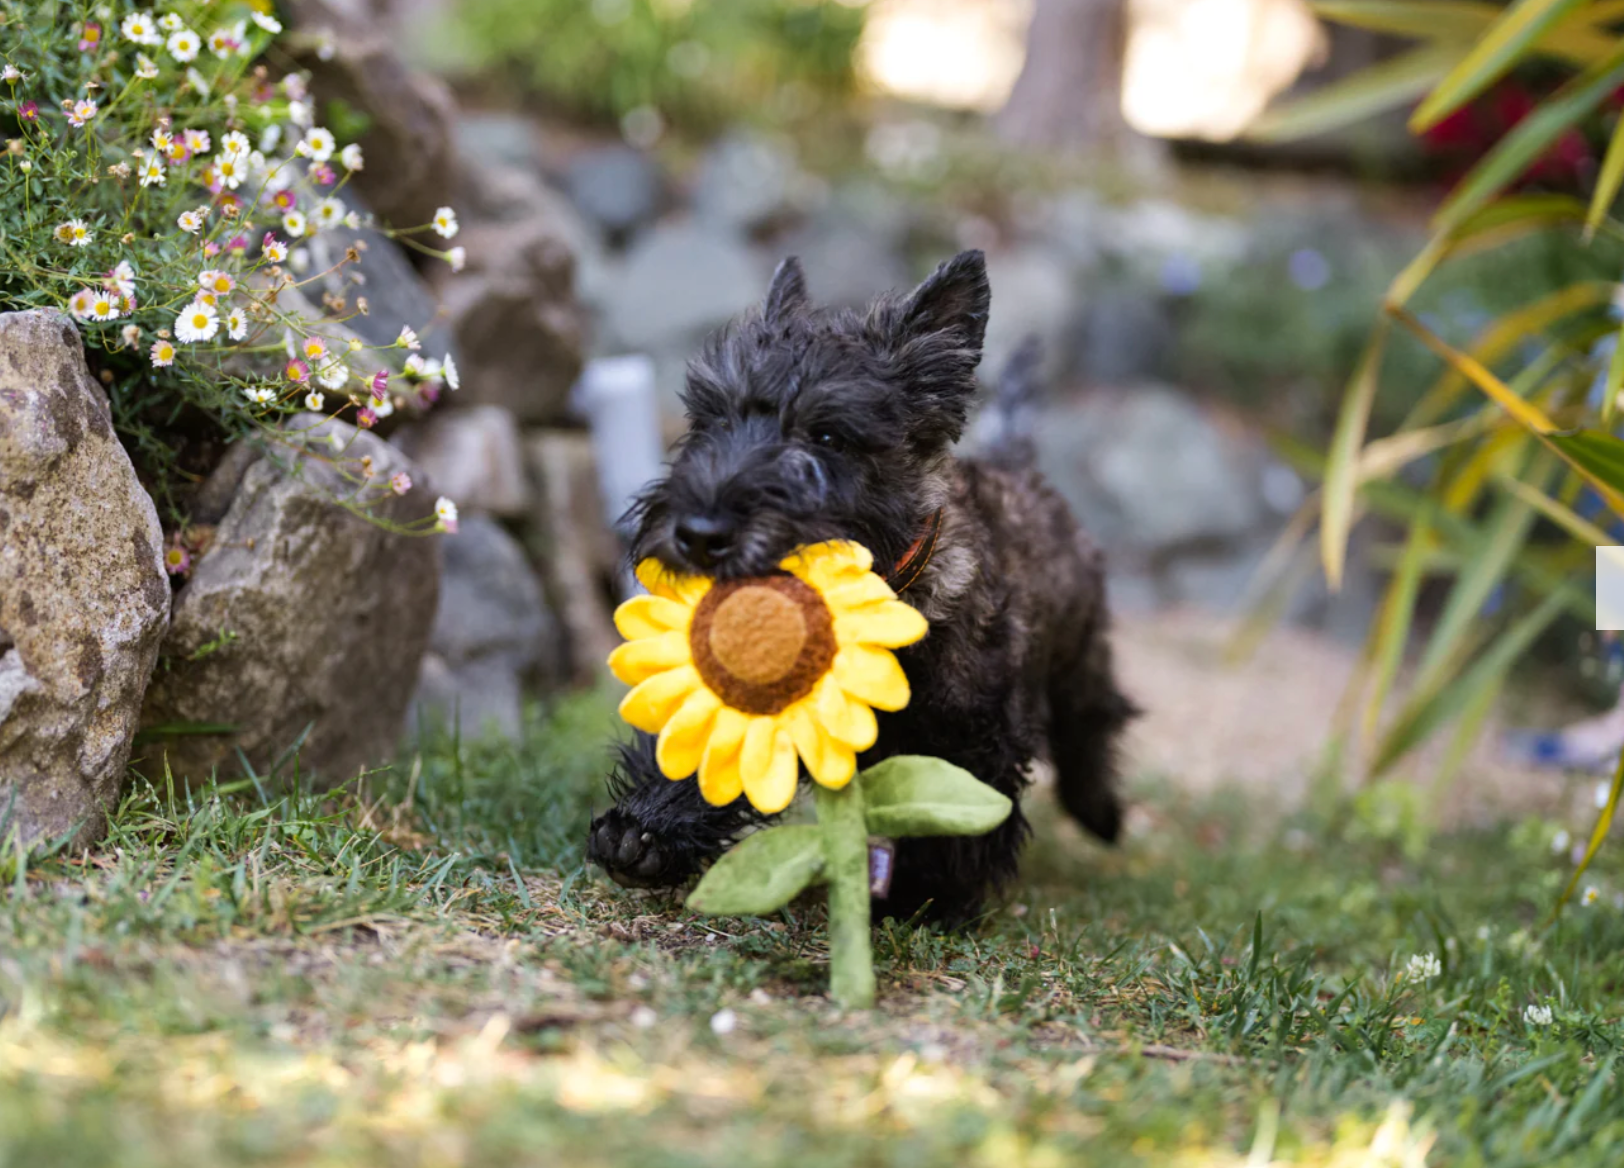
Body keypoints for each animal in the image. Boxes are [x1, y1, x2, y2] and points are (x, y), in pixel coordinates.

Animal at [591, 248, 1136, 922]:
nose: (698, 533)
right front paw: (643, 834)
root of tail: (1018, 462)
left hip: (1079, 651)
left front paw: (925, 896)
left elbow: (954, 814)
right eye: (712, 420)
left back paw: (1100, 813)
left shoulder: (973, 735)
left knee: (1095, 718)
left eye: (828, 436)